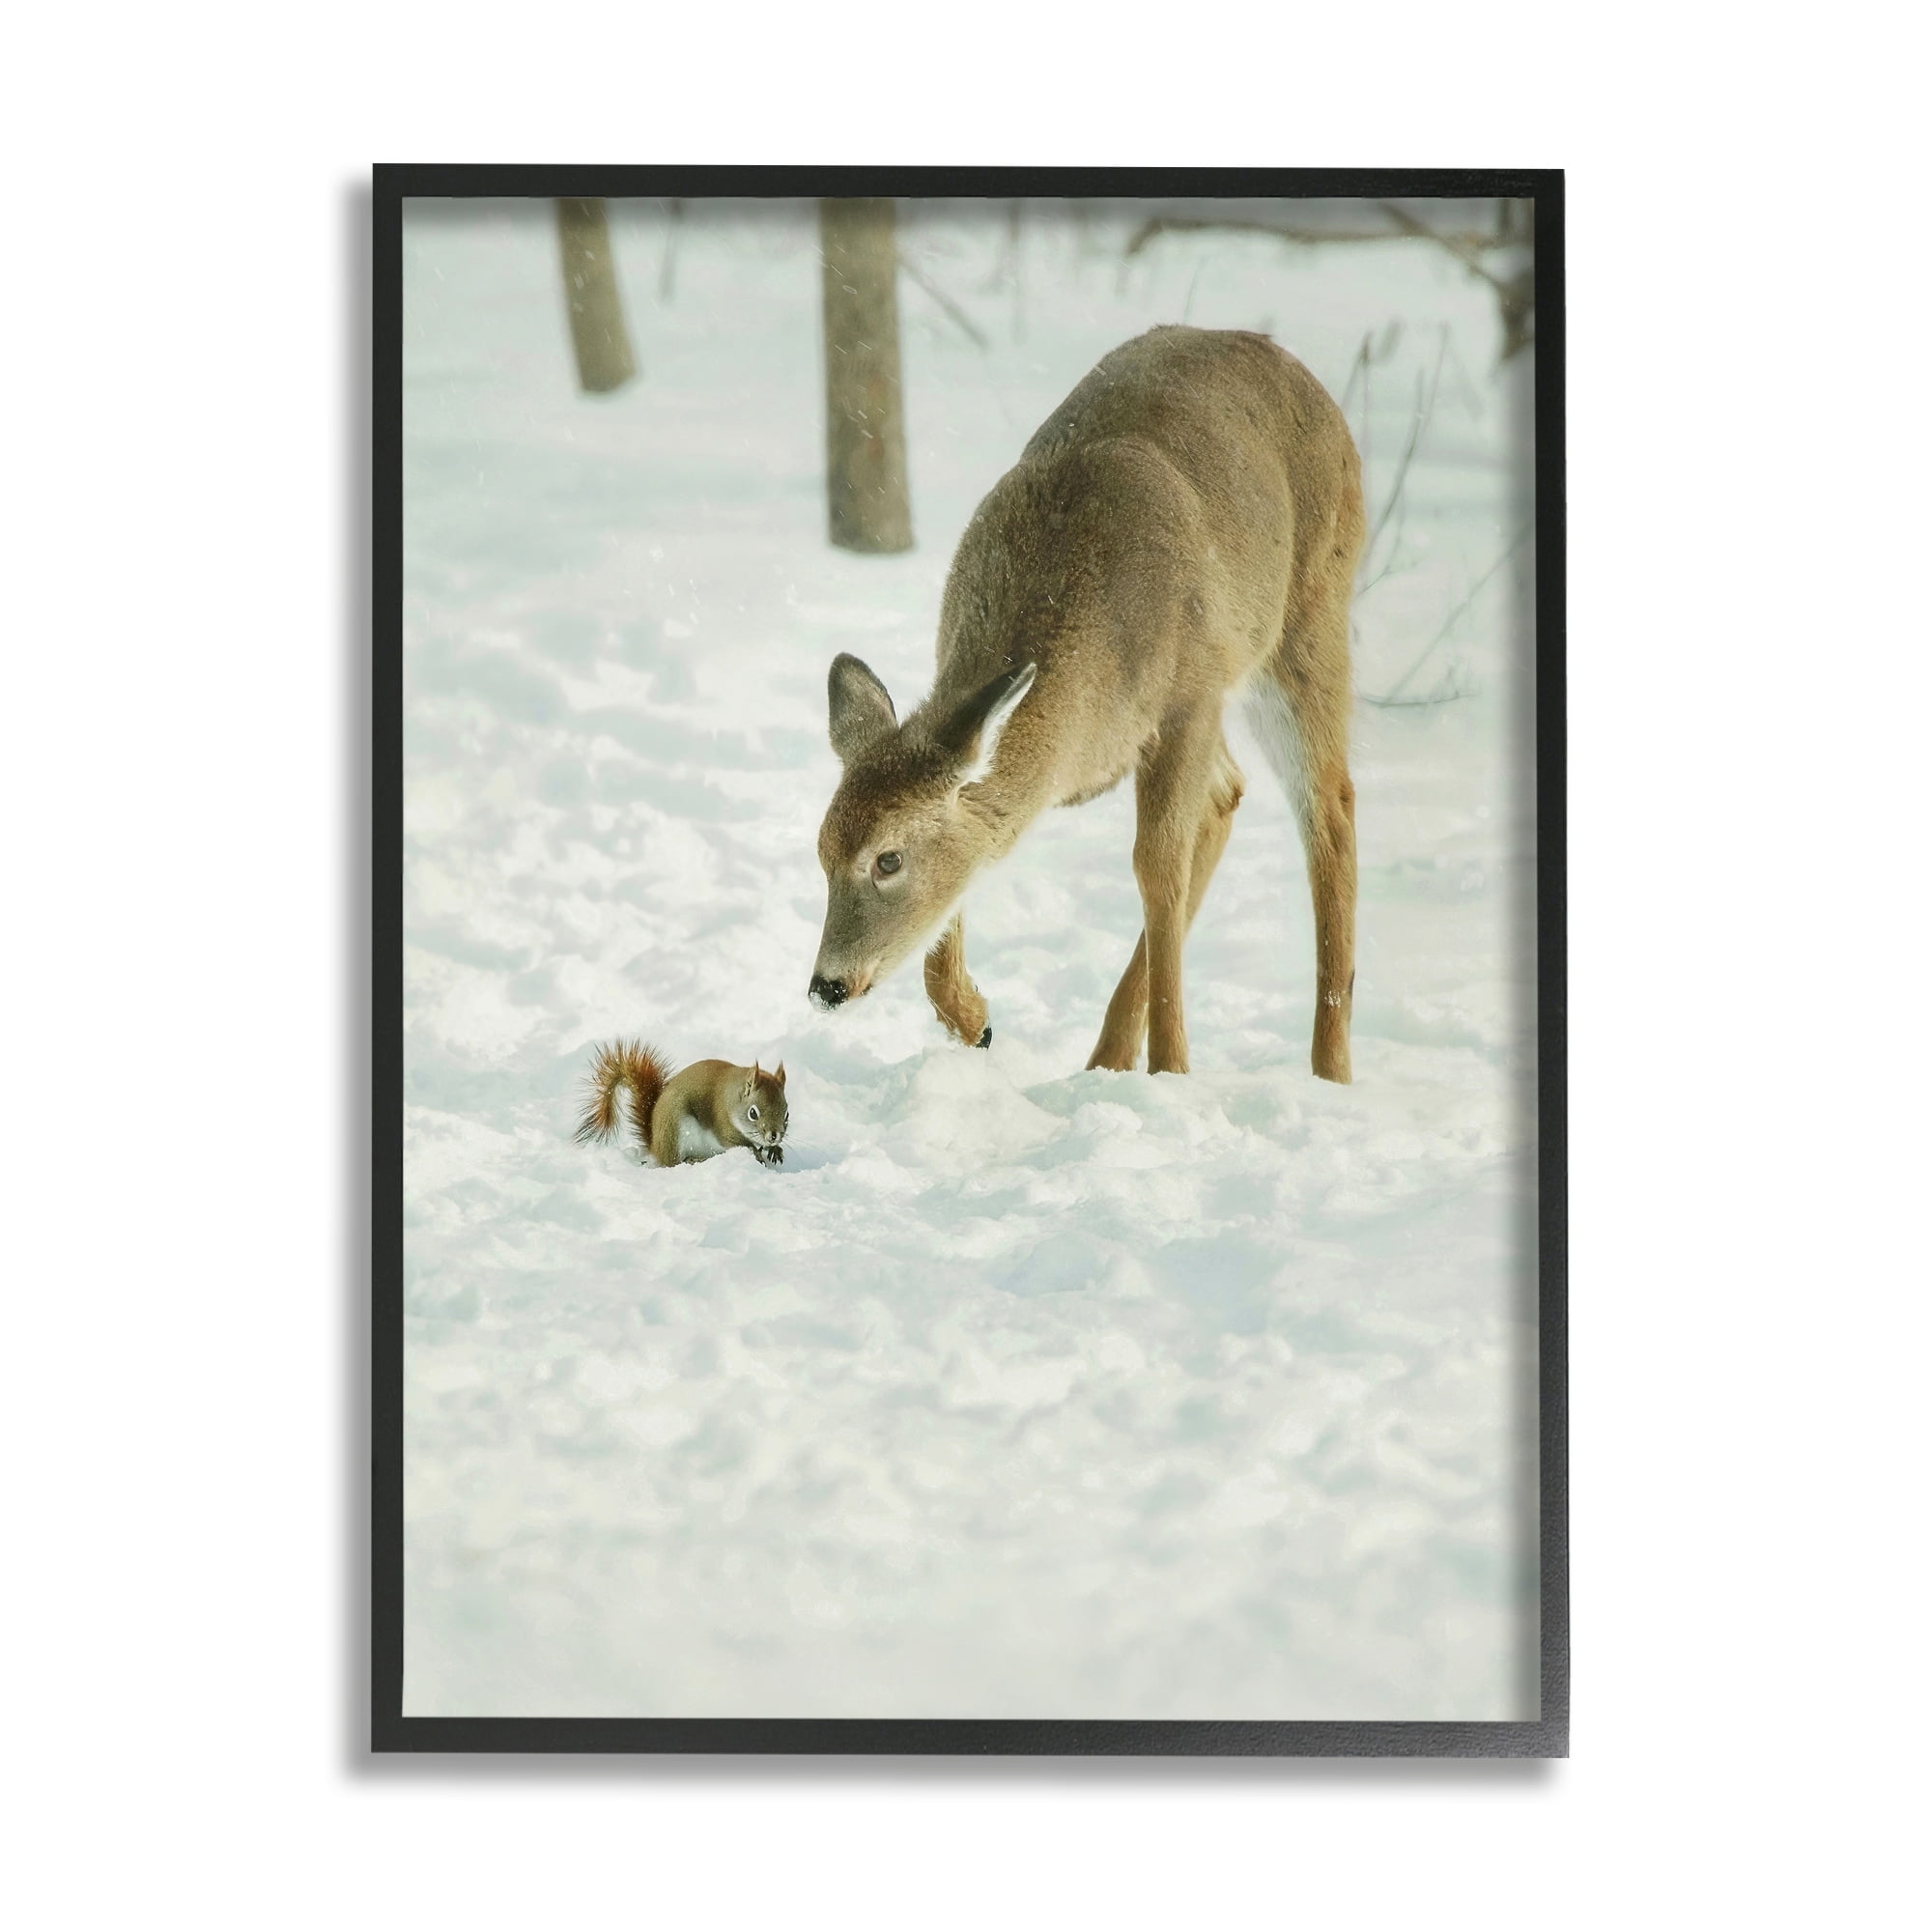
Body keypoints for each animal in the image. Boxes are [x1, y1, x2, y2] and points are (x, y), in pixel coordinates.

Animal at [574, 1039, 788, 1168]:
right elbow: (738, 1142)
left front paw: (775, 1150)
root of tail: (656, 1147)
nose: (774, 1136)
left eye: (787, 1114)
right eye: (753, 1113)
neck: (732, 1098)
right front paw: (756, 1153)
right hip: (675, 1129)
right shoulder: (722, 1125)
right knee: (674, 1162)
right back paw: (695, 1159)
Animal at [808, 324, 1364, 1083]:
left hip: (1307, 618)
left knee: (1328, 809)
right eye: (820, 851)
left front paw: (1172, 1072)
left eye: (888, 859)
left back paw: (1329, 1070)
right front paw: (975, 1021)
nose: (826, 986)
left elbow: (1157, 868)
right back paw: (1105, 1059)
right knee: (1230, 793)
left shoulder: (1190, 696)